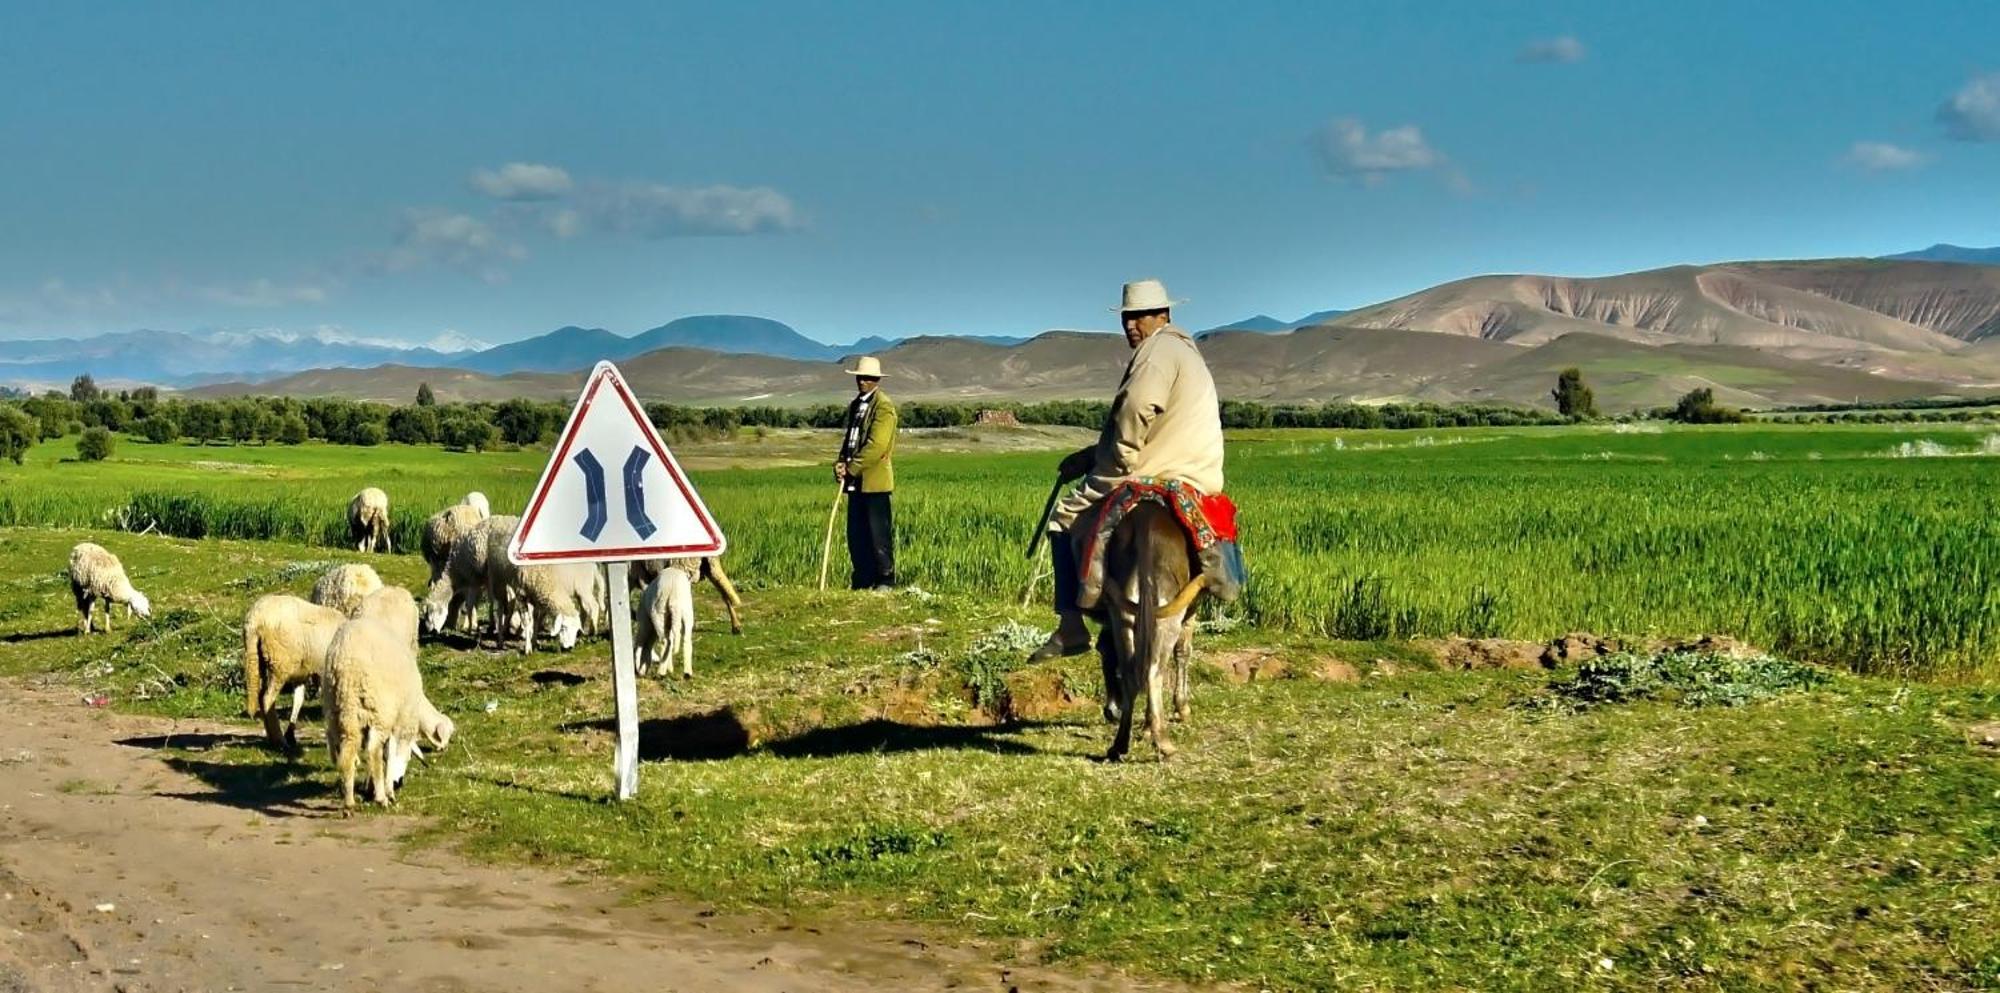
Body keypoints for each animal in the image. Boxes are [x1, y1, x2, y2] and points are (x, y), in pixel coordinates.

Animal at [242, 592, 348, 748]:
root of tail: (255, 618)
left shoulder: (302, 674)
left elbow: (298, 700)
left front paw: (291, 734)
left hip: (257, 658)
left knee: (261, 695)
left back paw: (273, 738)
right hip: (280, 662)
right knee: (267, 698)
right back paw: (279, 741)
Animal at [320, 620, 454, 812]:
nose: (400, 783)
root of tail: (346, 664)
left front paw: (371, 787)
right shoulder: (400, 722)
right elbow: (391, 754)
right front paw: (388, 789)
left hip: (340, 710)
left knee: (345, 752)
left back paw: (349, 802)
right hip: (379, 711)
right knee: (373, 751)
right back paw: (381, 798)